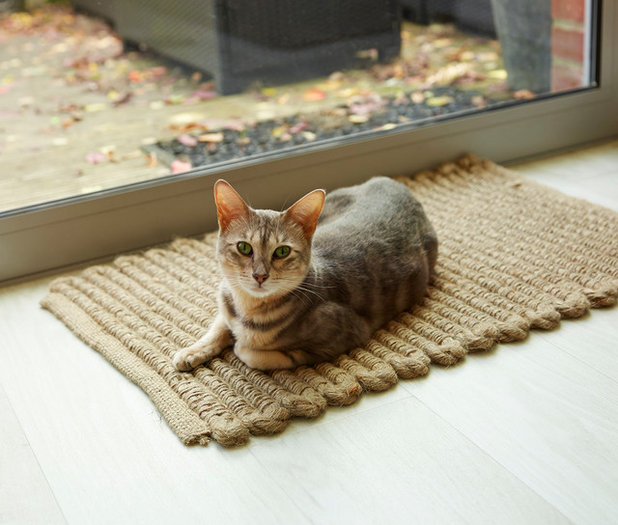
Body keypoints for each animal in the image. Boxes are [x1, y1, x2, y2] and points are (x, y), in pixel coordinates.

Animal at [171, 174, 436, 370]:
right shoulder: (226, 303)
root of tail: (391, 181)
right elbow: (218, 325)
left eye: (282, 251)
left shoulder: (345, 333)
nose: (260, 276)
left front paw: (239, 345)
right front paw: (192, 351)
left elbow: (254, 354)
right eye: (244, 247)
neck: (248, 309)